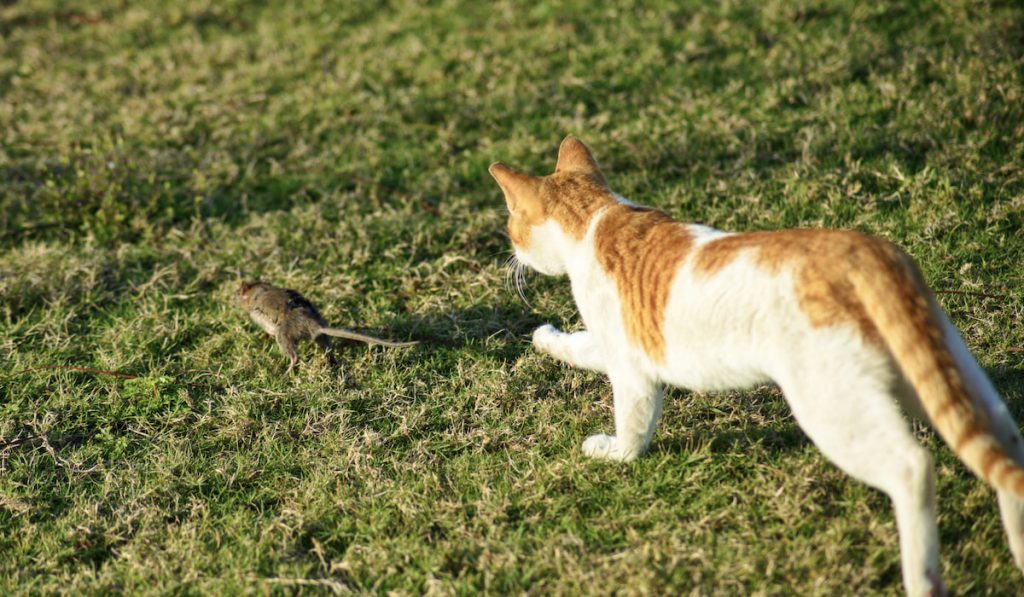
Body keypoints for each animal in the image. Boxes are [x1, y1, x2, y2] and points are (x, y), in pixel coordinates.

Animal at [487, 136, 1024, 597]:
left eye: (512, 226)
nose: (511, 252)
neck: (599, 214)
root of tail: (865, 251)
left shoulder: (631, 369)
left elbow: (631, 425)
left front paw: (613, 451)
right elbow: (580, 346)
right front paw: (546, 338)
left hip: (830, 405)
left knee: (913, 467)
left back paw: (922, 576)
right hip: (943, 373)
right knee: (1003, 442)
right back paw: (1017, 545)